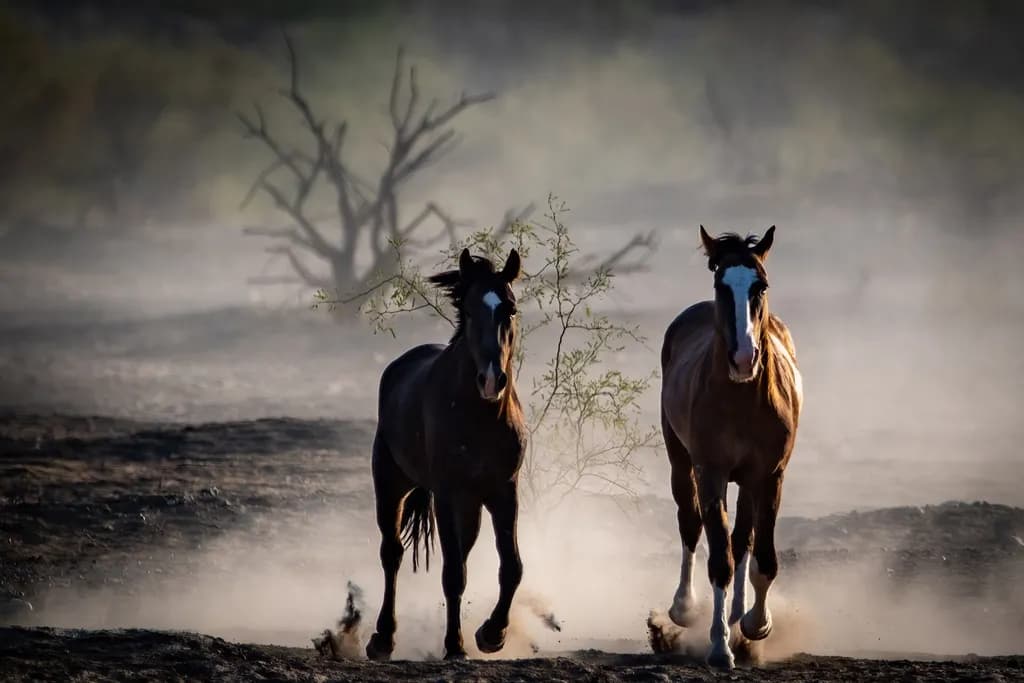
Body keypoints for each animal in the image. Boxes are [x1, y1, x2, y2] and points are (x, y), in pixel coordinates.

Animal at [365, 247, 528, 661]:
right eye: (469, 311)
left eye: (511, 309)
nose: (492, 379)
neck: (480, 417)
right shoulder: (447, 494)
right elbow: (452, 573)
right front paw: (455, 645)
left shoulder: (504, 492)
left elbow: (511, 566)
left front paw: (492, 633)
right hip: (391, 485)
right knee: (392, 553)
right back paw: (382, 638)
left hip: (470, 507)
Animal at [659, 225, 802, 669]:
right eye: (721, 284)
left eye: (761, 285)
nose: (743, 357)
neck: (742, 399)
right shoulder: (712, 472)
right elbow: (718, 556)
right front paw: (720, 647)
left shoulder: (769, 476)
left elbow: (761, 557)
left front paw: (756, 624)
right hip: (680, 462)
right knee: (691, 525)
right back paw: (684, 607)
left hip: (749, 482)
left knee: (744, 539)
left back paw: (739, 612)